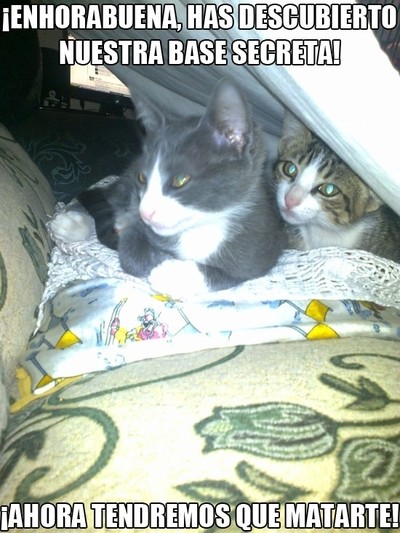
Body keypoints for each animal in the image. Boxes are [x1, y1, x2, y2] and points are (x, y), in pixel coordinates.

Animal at [51, 78, 286, 297]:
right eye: (142, 178)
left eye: (180, 180)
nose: (145, 213)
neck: (201, 228)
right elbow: (131, 254)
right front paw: (158, 257)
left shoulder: (261, 248)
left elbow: (232, 275)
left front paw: (174, 272)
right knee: (102, 194)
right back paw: (73, 224)